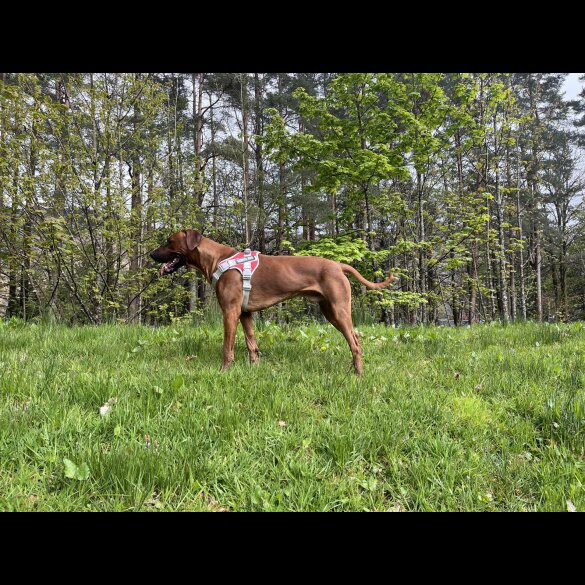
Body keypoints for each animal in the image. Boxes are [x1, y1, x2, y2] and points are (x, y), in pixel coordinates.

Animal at [151, 228, 394, 374]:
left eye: (169, 241)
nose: (151, 254)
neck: (218, 259)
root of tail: (338, 265)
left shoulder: (230, 311)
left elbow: (227, 347)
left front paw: (224, 371)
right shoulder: (245, 312)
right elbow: (252, 344)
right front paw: (254, 369)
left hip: (339, 309)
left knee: (355, 343)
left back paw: (358, 374)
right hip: (330, 311)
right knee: (355, 338)